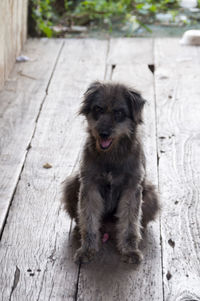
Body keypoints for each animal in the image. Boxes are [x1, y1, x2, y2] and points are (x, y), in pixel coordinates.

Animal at [62, 79, 159, 262]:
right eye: (98, 109)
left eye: (119, 112)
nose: (103, 133)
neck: (112, 155)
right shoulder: (89, 187)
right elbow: (89, 219)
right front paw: (87, 249)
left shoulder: (131, 190)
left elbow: (129, 223)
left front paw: (129, 250)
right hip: (71, 184)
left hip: (151, 195)